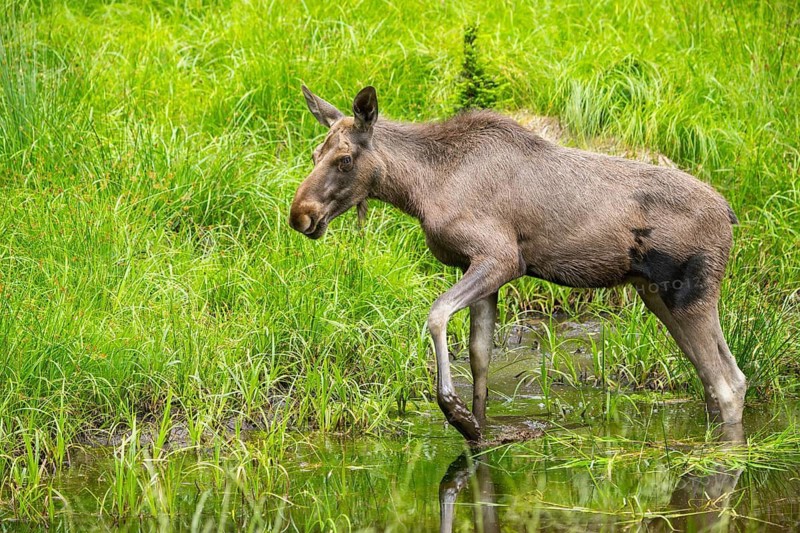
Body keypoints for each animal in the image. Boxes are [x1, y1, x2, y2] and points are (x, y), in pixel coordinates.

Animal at [289, 85, 746, 443]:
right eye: (313, 154)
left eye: (345, 159)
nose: (300, 215)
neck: (419, 189)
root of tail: (729, 213)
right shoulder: (477, 269)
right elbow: (480, 356)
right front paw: (478, 427)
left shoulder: (501, 258)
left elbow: (436, 314)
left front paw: (455, 412)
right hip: (658, 294)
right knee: (726, 378)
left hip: (689, 293)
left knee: (725, 383)